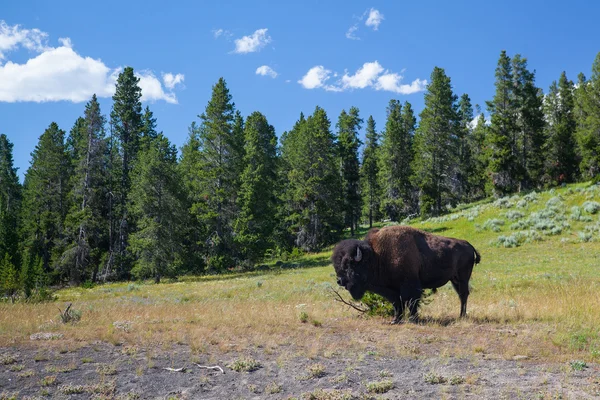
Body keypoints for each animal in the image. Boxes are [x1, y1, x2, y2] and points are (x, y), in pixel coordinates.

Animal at [330, 225, 480, 322]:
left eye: (349, 265)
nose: (340, 280)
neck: (377, 256)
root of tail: (468, 245)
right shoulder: (392, 290)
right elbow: (397, 303)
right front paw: (396, 320)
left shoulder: (410, 285)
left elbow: (411, 301)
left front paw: (413, 319)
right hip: (454, 279)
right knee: (461, 295)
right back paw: (461, 315)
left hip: (463, 278)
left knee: (464, 294)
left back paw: (462, 316)